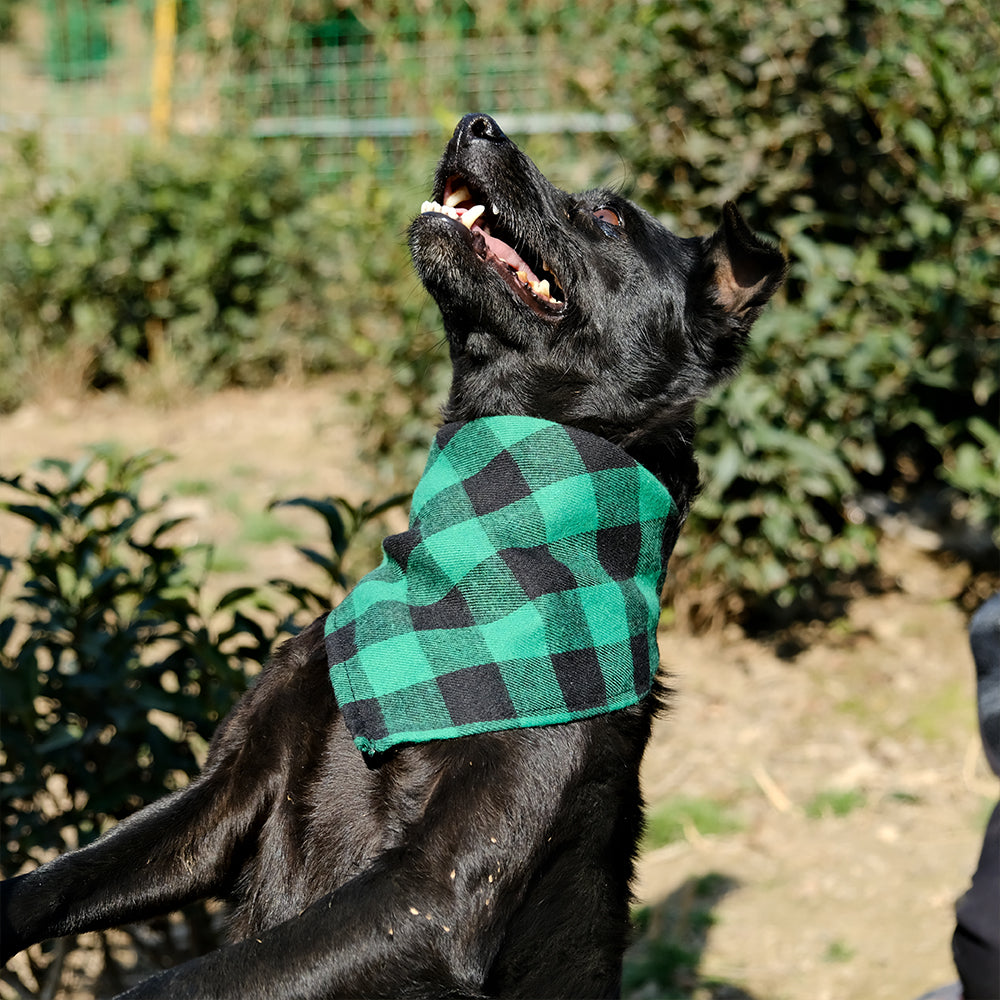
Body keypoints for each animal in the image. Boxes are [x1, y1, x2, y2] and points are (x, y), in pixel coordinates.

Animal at [0, 113, 784, 996]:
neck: (468, 559)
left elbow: (174, 981)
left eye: (610, 218)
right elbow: (47, 883)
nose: (476, 122)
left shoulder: (433, 895)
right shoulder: (222, 801)